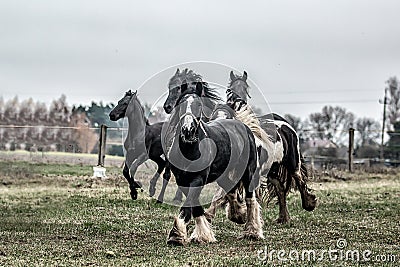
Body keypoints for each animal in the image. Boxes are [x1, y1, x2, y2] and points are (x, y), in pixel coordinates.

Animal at [162, 70, 262, 246]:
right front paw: (202, 234)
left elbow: (189, 204)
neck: (189, 149)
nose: (188, 130)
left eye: (198, 105)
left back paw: (252, 231)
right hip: (223, 174)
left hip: (248, 173)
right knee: (230, 188)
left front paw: (177, 234)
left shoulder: (198, 178)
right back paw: (238, 214)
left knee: (251, 200)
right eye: (181, 105)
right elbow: (194, 205)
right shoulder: (182, 180)